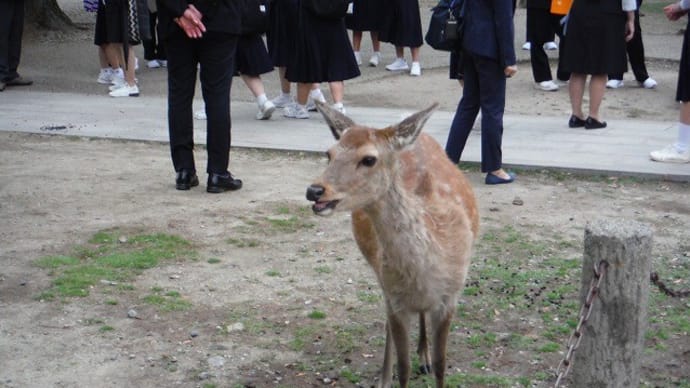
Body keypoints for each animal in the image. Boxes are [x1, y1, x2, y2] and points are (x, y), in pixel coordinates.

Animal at [306, 101, 478, 386]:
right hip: (379, 274)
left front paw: (431, 361)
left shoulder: (450, 297)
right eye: (328, 154)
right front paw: (394, 373)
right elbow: (404, 366)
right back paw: (385, 375)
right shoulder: (396, 299)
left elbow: (442, 365)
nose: (315, 191)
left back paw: (424, 356)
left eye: (369, 159)